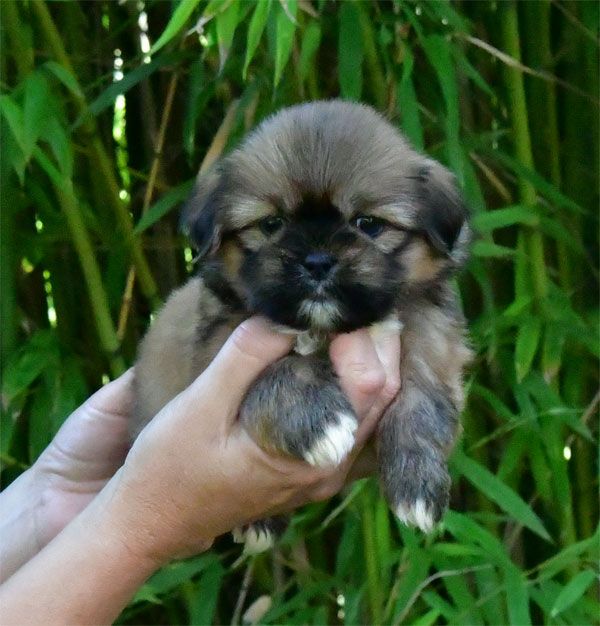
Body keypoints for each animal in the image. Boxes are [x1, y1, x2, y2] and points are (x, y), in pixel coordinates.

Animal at [132, 100, 474, 548]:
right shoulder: (219, 346)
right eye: (271, 224)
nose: (317, 261)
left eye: (368, 224)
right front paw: (320, 422)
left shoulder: (430, 329)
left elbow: (423, 398)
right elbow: (278, 371)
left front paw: (417, 481)